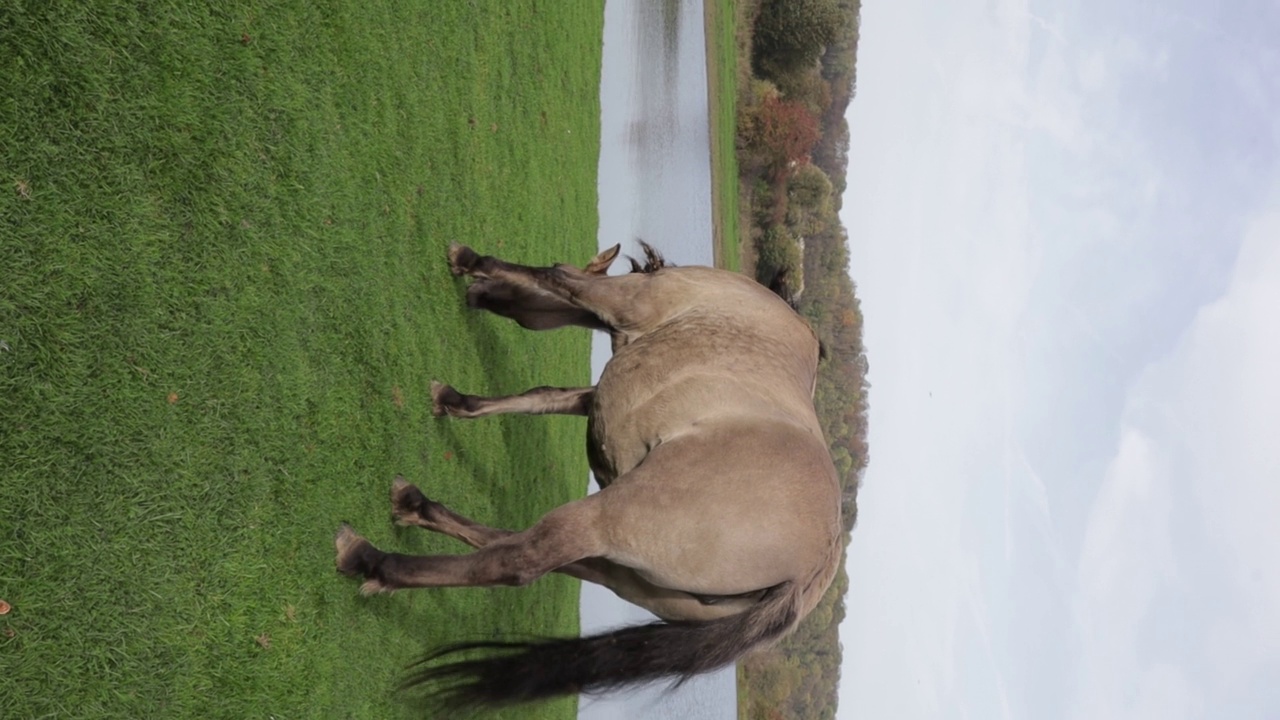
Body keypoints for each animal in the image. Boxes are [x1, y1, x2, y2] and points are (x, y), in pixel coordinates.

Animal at [335, 239, 844, 707]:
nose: (480, 295)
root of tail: (807, 576)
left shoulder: (621, 299)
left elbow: (557, 274)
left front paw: (469, 260)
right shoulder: (596, 396)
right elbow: (539, 397)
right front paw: (454, 401)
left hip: (610, 520)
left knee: (516, 560)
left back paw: (370, 560)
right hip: (624, 572)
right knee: (515, 546)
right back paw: (415, 507)